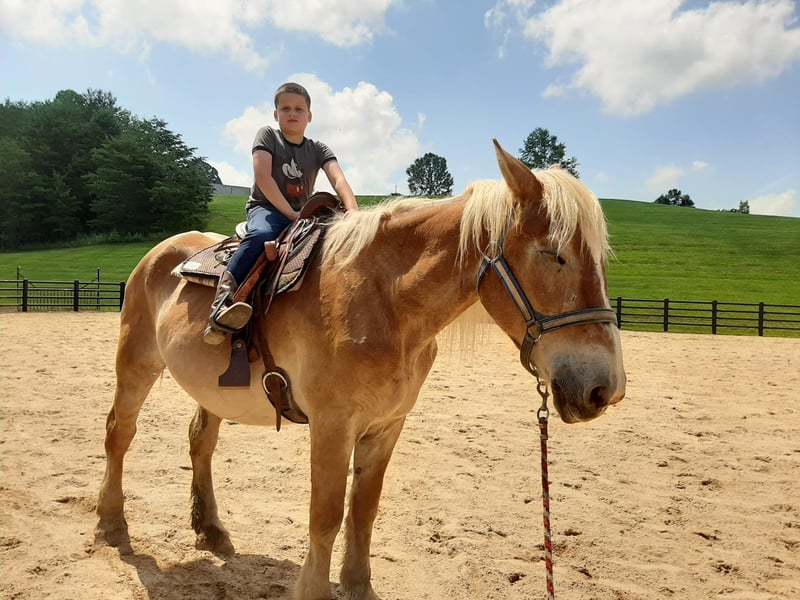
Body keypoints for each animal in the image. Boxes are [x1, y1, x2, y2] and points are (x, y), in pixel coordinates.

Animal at [95, 140, 626, 600]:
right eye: (554, 254)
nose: (607, 388)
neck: (383, 300)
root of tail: (162, 253)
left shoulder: (386, 426)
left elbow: (363, 511)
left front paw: (358, 586)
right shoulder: (332, 425)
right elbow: (326, 515)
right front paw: (313, 591)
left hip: (212, 390)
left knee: (200, 442)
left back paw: (210, 530)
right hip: (136, 364)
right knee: (119, 433)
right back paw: (110, 524)